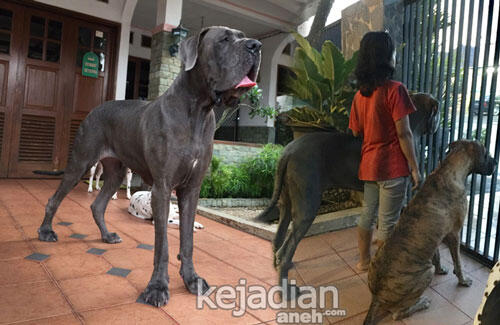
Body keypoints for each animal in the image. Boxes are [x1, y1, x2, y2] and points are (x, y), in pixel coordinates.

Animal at [366, 140, 498, 322]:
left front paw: (440, 269)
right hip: (425, 273)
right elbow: (458, 262)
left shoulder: (437, 235)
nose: (496, 163)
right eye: (486, 153)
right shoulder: (455, 234)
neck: (449, 169)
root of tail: (376, 296)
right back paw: (422, 303)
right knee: (397, 313)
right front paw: (463, 280)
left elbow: (437, 255)